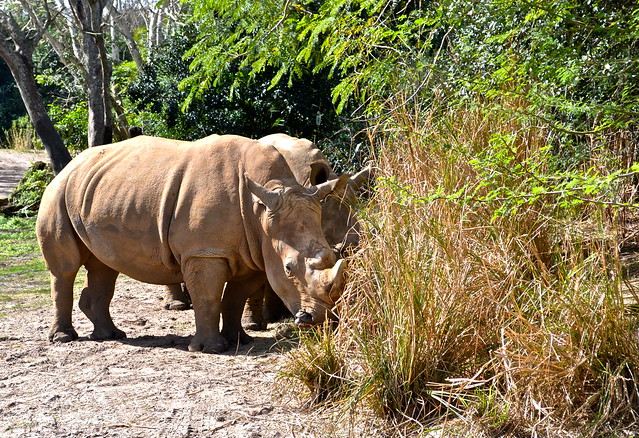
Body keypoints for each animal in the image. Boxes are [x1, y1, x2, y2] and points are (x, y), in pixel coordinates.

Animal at [37, 133, 348, 352]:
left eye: (334, 257)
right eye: (288, 269)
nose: (320, 319)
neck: (262, 206)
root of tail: (70, 165)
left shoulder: (254, 253)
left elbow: (234, 298)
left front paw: (240, 341)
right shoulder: (204, 252)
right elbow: (207, 296)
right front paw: (212, 349)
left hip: (99, 192)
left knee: (104, 266)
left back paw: (111, 335)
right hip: (57, 192)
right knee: (65, 270)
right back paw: (64, 339)